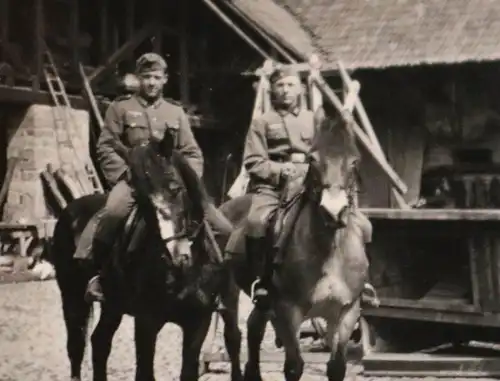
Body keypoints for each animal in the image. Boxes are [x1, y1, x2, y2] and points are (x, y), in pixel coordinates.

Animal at [49, 140, 242, 380]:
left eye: (176, 188)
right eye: (143, 201)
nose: (178, 255)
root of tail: (70, 209)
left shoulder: (198, 322)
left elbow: (188, 370)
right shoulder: (146, 323)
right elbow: (145, 372)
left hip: (112, 305)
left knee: (99, 342)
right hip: (72, 297)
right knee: (76, 347)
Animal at [217, 117, 374, 380]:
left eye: (354, 161)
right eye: (313, 160)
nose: (334, 212)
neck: (329, 252)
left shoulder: (346, 311)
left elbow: (337, 366)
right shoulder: (287, 311)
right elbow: (294, 366)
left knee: (253, 328)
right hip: (229, 291)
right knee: (234, 336)